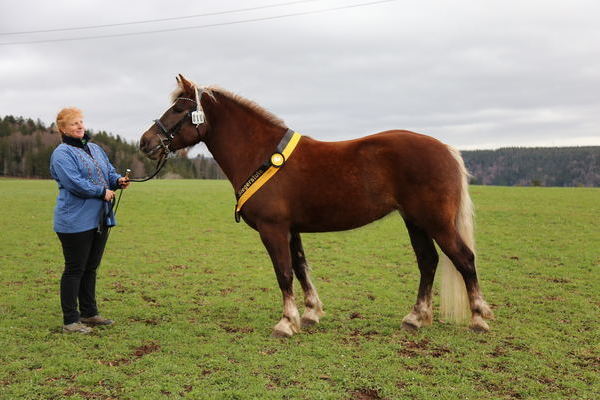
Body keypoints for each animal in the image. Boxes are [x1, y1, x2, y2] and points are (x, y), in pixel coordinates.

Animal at [139, 75, 492, 338]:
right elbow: (300, 268)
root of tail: (446, 148)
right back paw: (415, 318)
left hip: (436, 222)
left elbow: (283, 273)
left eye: (178, 109)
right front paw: (310, 314)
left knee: (463, 259)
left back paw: (478, 318)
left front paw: (286, 323)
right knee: (428, 261)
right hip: (415, 221)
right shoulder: (291, 230)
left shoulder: (273, 229)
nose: (145, 142)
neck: (262, 153)